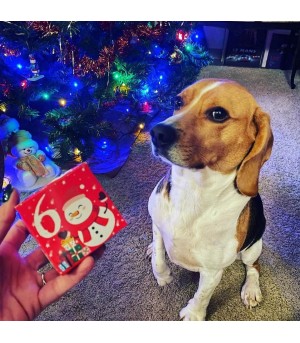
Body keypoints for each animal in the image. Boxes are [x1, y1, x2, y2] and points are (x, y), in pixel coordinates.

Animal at [148, 78, 274, 322]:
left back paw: (251, 289)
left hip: (253, 246)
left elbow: (202, 294)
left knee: (253, 266)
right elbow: (159, 257)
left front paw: (193, 315)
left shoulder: (212, 271)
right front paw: (163, 276)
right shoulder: (157, 224)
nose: (156, 132)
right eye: (177, 102)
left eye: (218, 114)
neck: (193, 189)